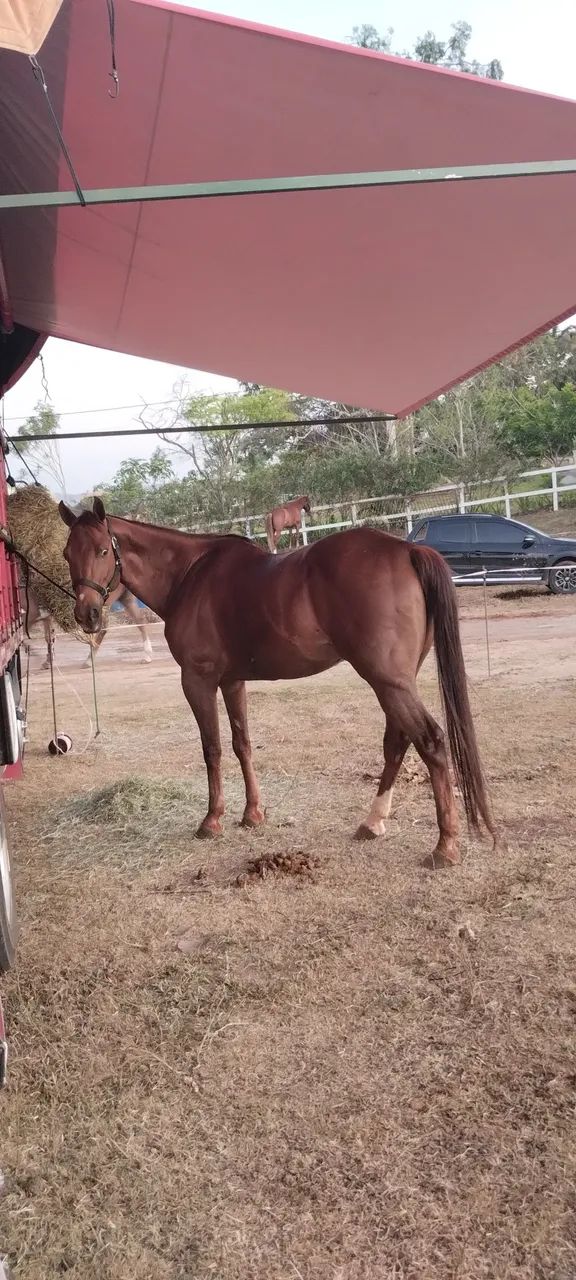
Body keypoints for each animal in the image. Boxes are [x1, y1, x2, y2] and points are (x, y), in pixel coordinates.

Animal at [21, 580, 153, 670]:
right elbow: (48, 638)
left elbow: (21, 639)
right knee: (141, 621)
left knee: (103, 627)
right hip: (126, 597)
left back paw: (89, 660)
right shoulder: (44, 617)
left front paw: (35, 655)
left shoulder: (30, 616)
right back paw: (147, 655)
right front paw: (47, 661)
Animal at [59, 497, 495, 868]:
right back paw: (372, 823)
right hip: (395, 683)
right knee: (398, 741)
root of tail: (406, 550)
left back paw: (445, 846)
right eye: (67, 553)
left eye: (103, 550)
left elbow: (213, 749)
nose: (87, 615)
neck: (189, 574)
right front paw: (253, 814)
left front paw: (212, 820)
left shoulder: (198, 680)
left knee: (431, 741)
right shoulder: (232, 682)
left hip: (388, 681)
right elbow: (242, 744)